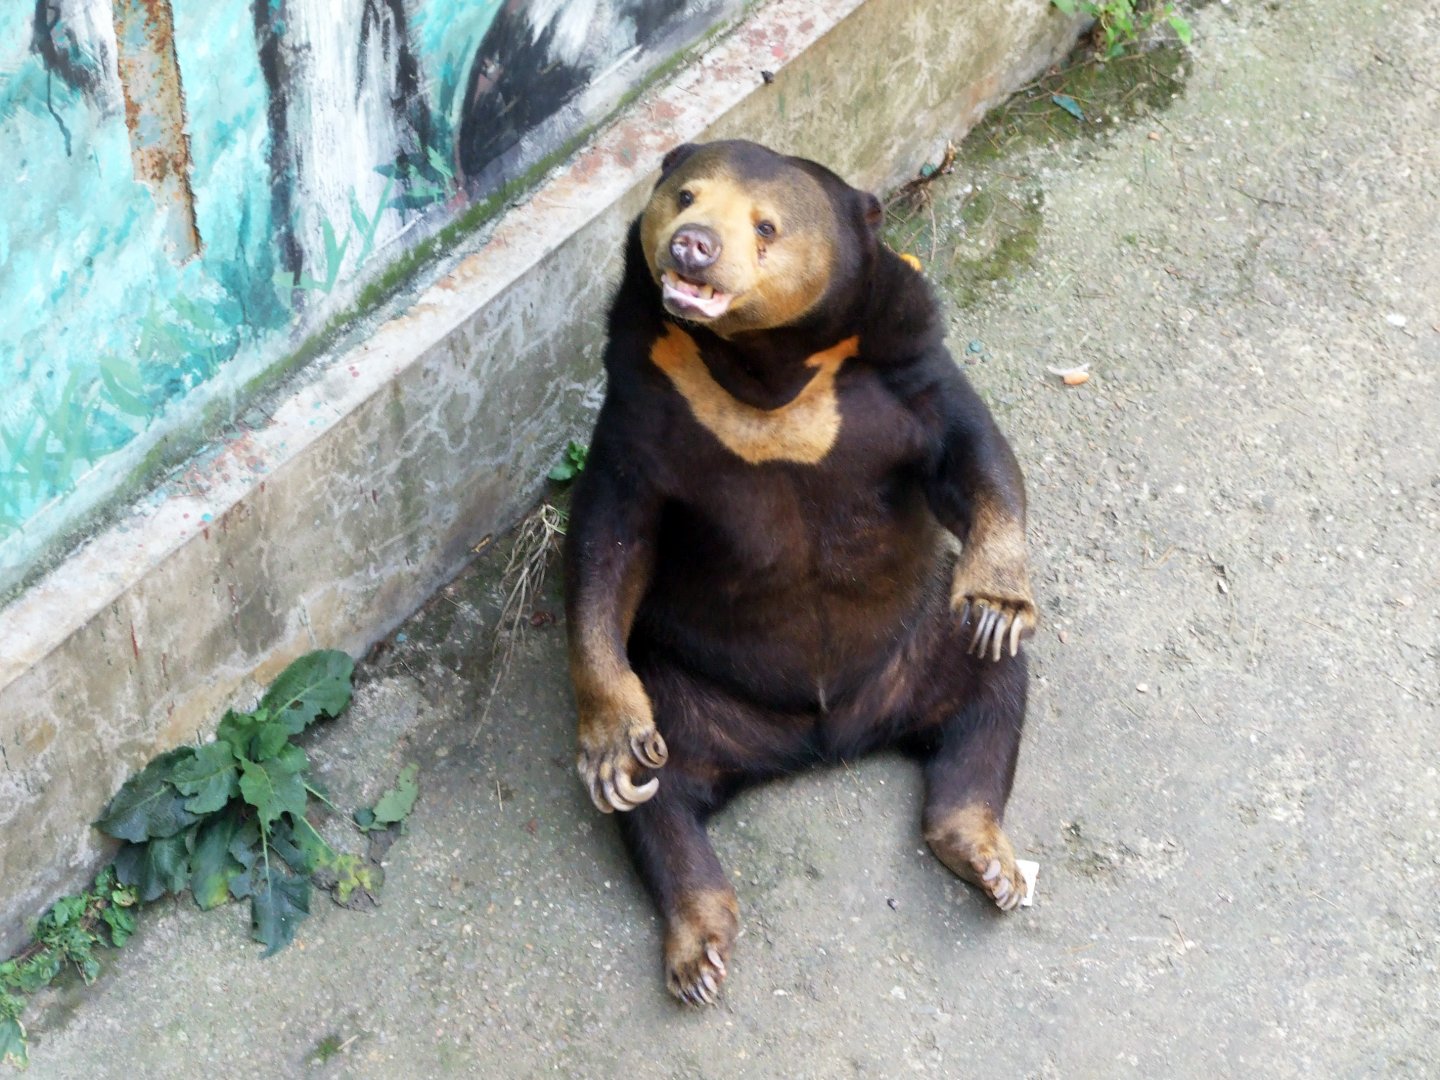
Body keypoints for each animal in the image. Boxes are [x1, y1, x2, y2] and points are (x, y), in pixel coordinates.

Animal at [564, 140, 1038, 1005]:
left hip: (921, 639)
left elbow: (972, 451)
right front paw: (611, 745)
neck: (762, 369)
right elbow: (605, 550)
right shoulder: (643, 403)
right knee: (662, 798)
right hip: (683, 690)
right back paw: (698, 946)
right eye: (686, 196)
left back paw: (984, 854)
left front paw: (995, 598)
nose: (691, 247)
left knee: (990, 692)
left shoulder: (905, 366)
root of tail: (824, 738)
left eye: (766, 226)